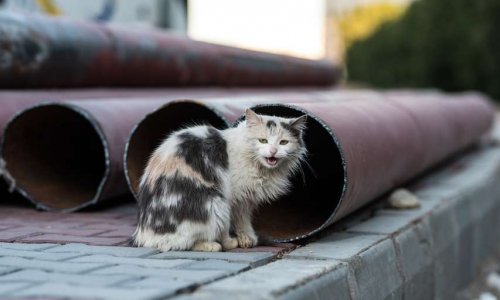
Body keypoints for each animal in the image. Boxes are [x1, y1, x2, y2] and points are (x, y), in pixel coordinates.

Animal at [131, 108, 306, 251]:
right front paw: (232, 242)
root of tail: (144, 236)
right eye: (263, 140)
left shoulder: (245, 201)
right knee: (183, 243)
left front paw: (248, 238)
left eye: (283, 142)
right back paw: (214, 245)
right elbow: (227, 226)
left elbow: (244, 221)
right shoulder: (232, 197)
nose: (273, 151)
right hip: (215, 202)